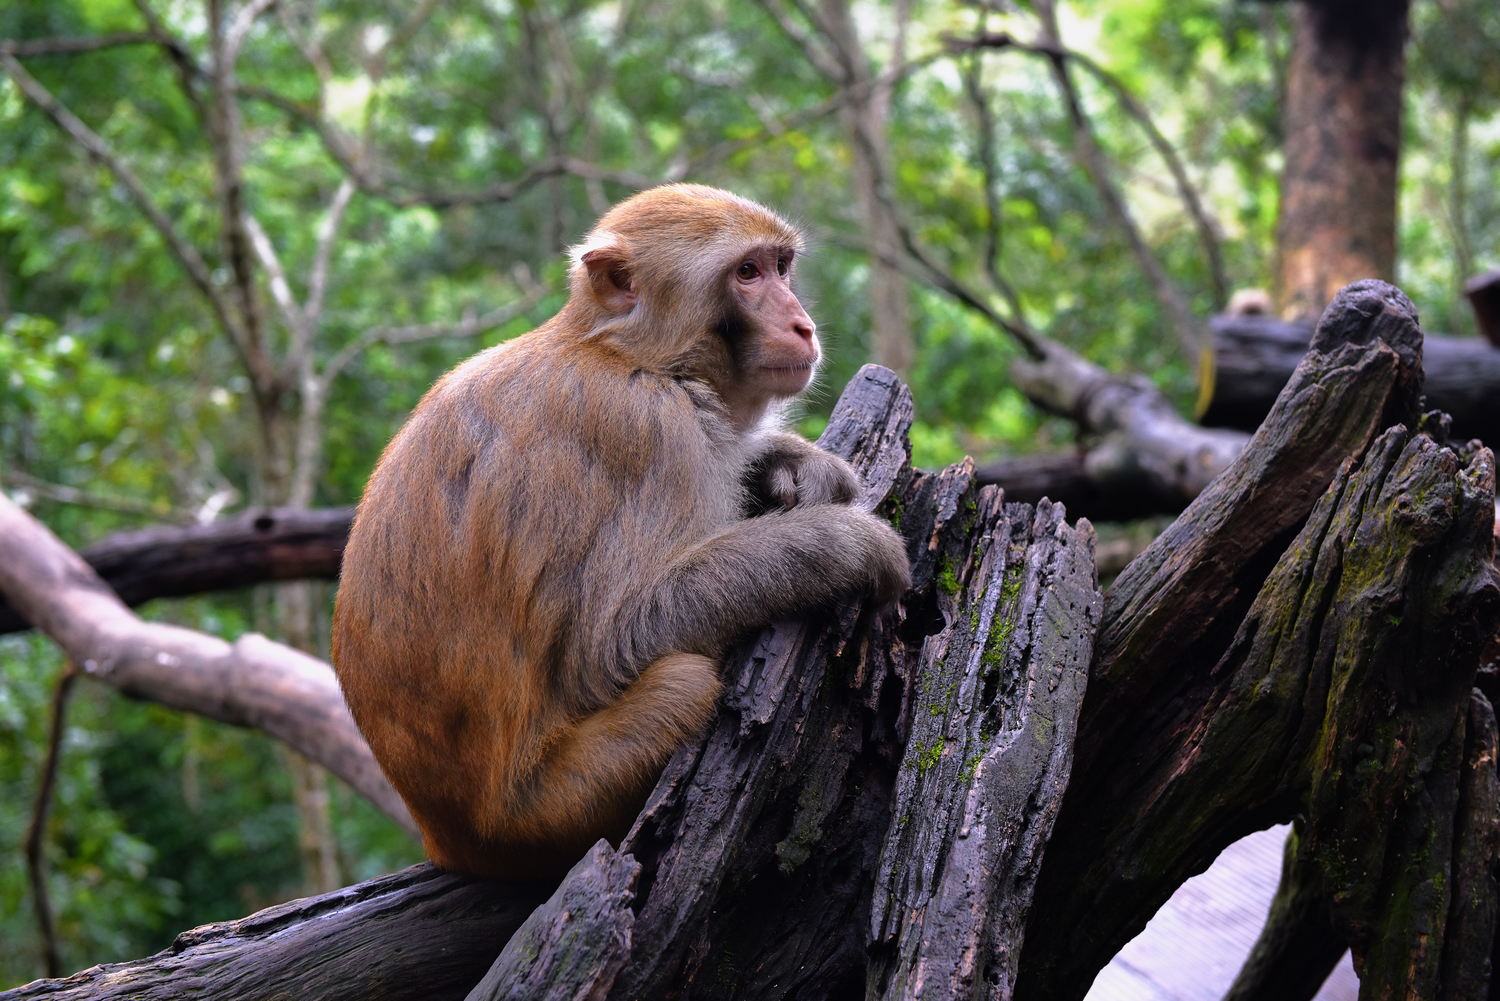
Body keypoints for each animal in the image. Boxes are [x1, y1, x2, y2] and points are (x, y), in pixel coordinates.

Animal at [333, 183, 906, 882]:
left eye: (780, 266)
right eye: (746, 273)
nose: (802, 324)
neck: (625, 353)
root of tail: (446, 838)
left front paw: (792, 464)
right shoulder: (649, 429)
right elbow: (609, 645)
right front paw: (848, 544)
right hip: (554, 806)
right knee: (683, 683)